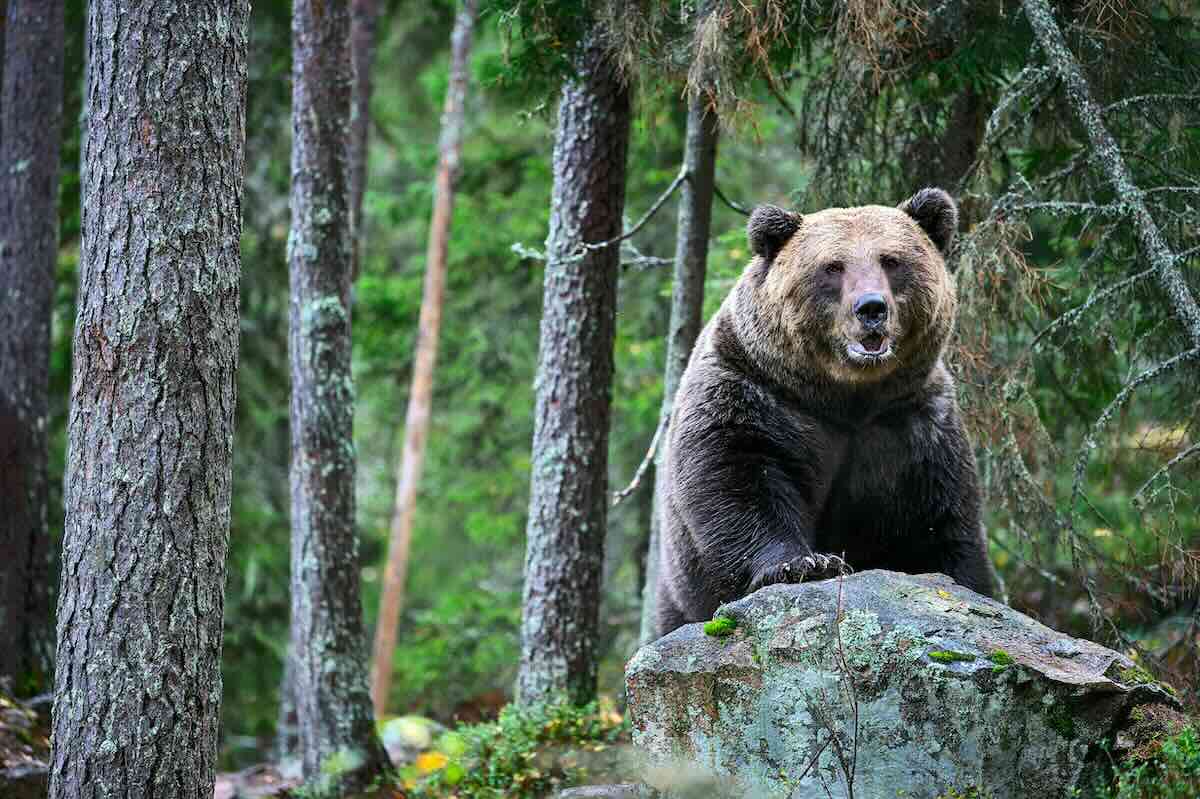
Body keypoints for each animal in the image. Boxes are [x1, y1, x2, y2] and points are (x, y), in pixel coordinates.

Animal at [654, 187, 993, 637]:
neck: (846, 398)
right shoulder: (751, 393)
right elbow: (736, 479)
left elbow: (941, 521)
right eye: (833, 266)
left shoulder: (914, 427)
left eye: (891, 260)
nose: (871, 308)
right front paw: (805, 563)